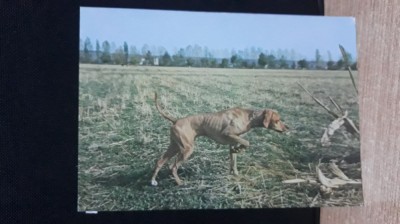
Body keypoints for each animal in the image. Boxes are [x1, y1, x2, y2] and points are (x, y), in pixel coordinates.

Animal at [151, 93, 288, 186]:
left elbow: (234, 160)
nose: (287, 128)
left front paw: (235, 173)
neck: (248, 116)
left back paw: (153, 181)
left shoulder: (232, 142)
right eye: (278, 120)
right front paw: (240, 150)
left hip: (174, 146)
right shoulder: (228, 134)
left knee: (160, 161)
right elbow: (247, 143)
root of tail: (176, 120)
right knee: (173, 167)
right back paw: (179, 182)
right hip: (187, 149)